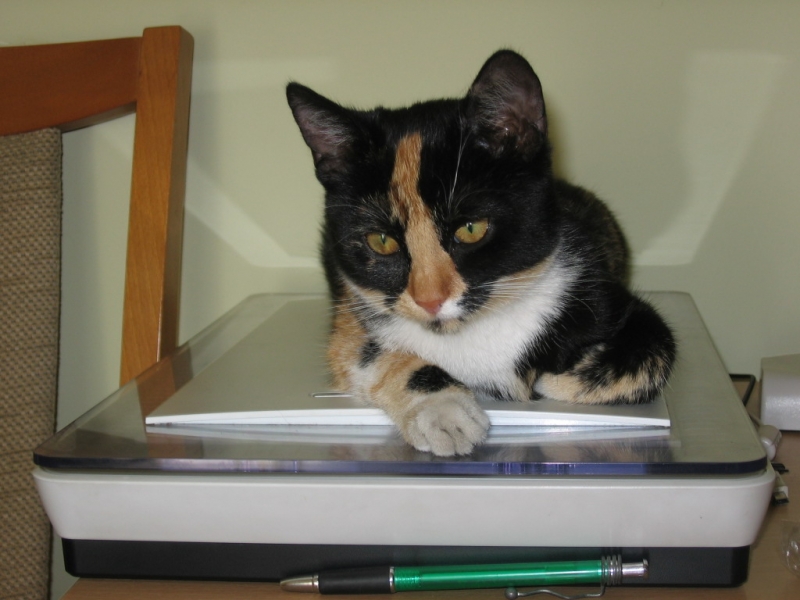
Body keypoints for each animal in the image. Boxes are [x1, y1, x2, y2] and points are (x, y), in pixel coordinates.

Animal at [286, 50, 676, 457]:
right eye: (381, 241)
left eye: (471, 229)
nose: (429, 299)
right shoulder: (351, 316)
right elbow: (364, 354)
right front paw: (443, 411)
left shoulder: (598, 290)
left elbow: (654, 351)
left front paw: (550, 382)